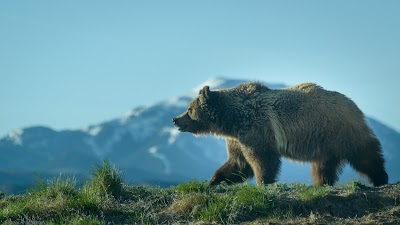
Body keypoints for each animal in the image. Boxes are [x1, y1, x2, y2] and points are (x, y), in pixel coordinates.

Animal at [172, 82, 388, 186]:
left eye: (189, 109)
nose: (175, 119)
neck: (232, 120)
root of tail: (353, 103)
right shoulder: (237, 139)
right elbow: (238, 163)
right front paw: (214, 181)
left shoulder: (256, 127)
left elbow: (262, 158)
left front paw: (263, 182)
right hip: (324, 140)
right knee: (323, 164)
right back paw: (321, 183)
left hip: (339, 129)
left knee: (364, 154)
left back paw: (381, 178)